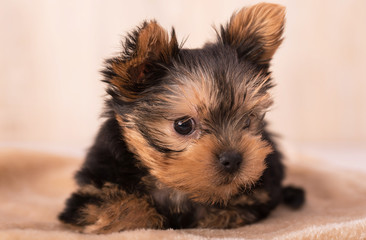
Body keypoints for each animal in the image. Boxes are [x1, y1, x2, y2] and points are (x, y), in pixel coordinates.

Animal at [60, 2, 304, 233]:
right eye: (183, 125)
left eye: (247, 120)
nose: (233, 159)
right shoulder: (92, 193)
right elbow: (128, 208)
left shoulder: (258, 197)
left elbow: (227, 210)